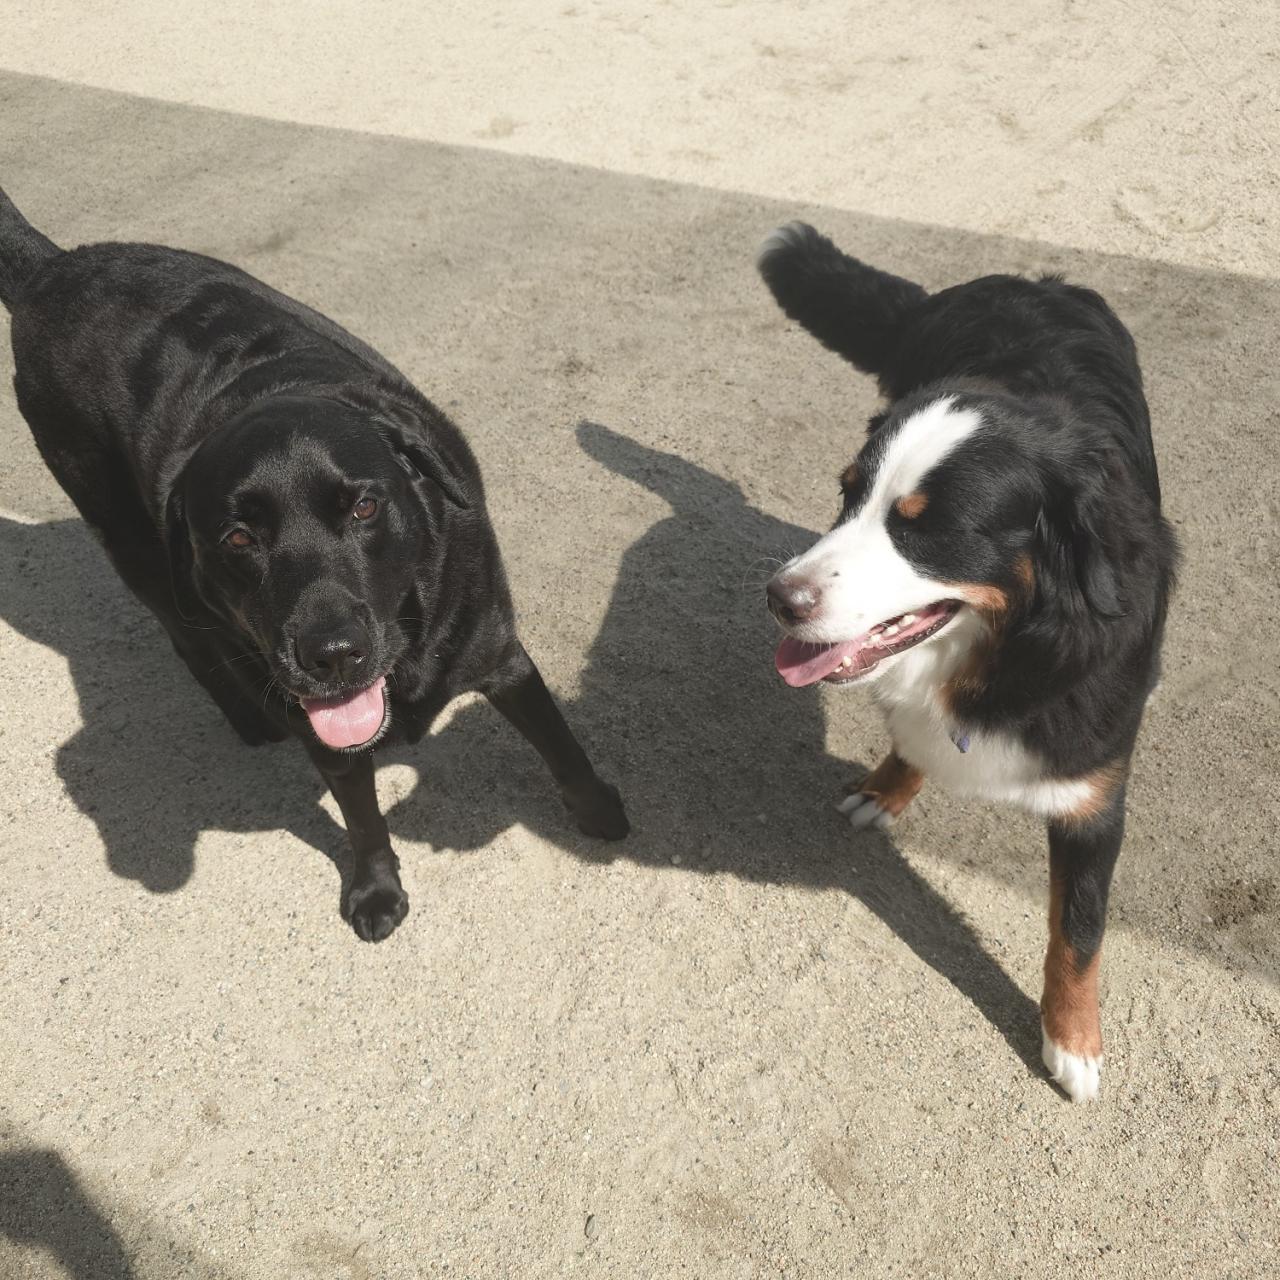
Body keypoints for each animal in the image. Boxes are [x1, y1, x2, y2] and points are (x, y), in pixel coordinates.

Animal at [0, 186, 628, 941]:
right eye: (238, 538)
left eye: (363, 507)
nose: (332, 654)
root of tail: (51, 268)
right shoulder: (319, 722)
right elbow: (361, 818)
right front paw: (376, 889)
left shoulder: (497, 653)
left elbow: (560, 745)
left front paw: (600, 812)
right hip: (134, 547)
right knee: (190, 642)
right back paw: (246, 721)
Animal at [758, 223, 1177, 1101]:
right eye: (847, 496)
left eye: (924, 528)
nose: (779, 597)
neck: (1013, 650)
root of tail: (1029, 279)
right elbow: (910, 735)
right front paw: (888, 787)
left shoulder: (1094, 796)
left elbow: (1079, 932)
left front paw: (1073, 1043)